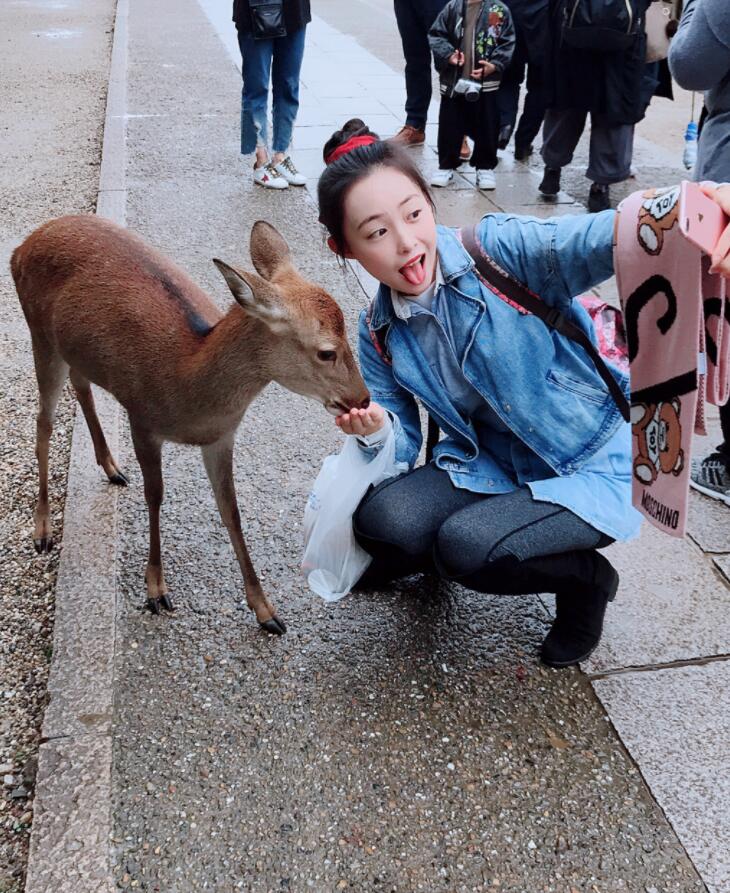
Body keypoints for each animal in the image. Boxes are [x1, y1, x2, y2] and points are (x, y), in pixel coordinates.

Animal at [12, 216, 370, 636]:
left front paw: (266, 611)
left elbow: (231, 510)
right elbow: (155, 496)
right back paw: (43, 530)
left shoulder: (221, 437)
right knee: (44, 422)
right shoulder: (141, 418)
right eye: (326, 351)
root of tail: (22, 246)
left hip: (74, 349)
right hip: (40, 334)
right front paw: (155, 589)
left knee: (81, 386)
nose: (363, 398)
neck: (186, 386)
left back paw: (112, 466)